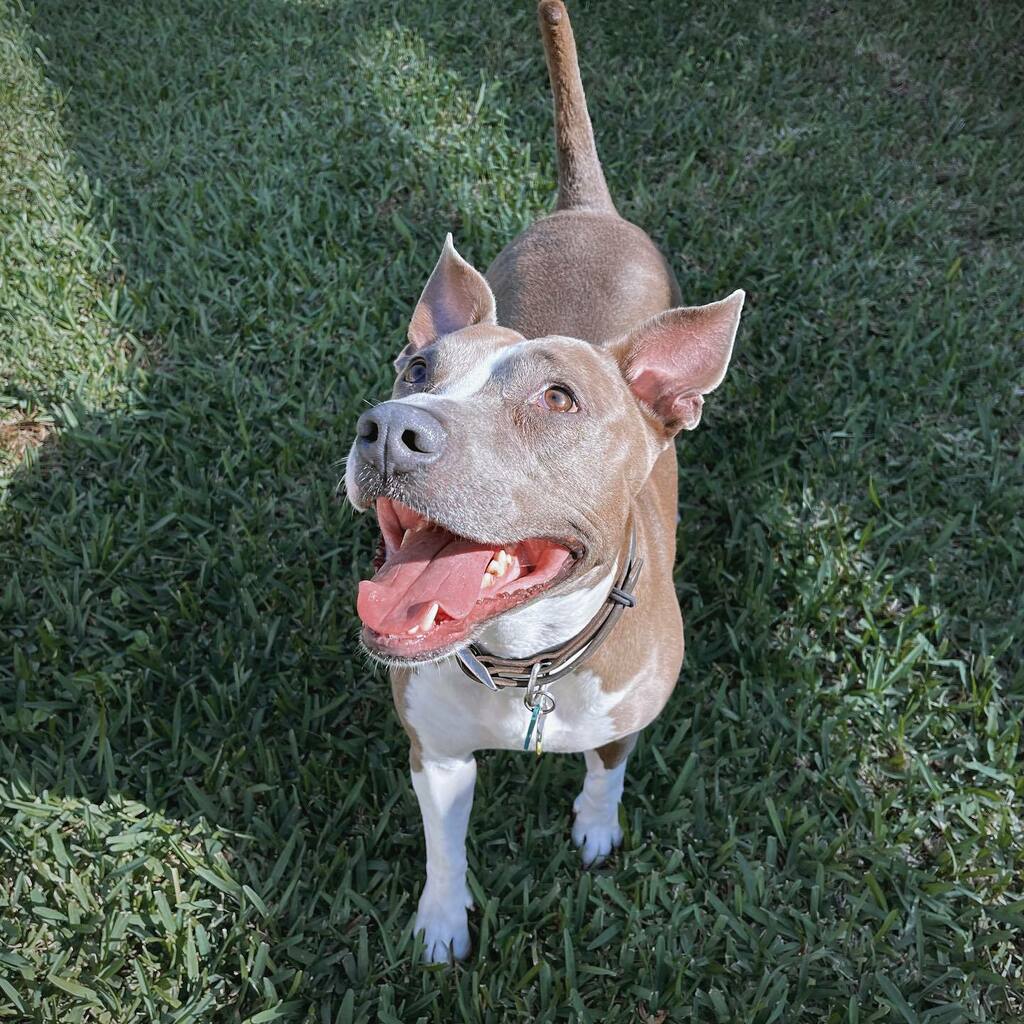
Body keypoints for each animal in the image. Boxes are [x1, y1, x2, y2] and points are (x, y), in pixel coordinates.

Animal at [346, 0, 745, 962]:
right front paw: (442, 923)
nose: (391, 429)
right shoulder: (436, 755)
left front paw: (597, 829)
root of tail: (585, 205)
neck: (526, 661)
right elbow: (444, 844)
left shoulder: (624, 724)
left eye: (557, 399)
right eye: (418, 367)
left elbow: (607, 775)